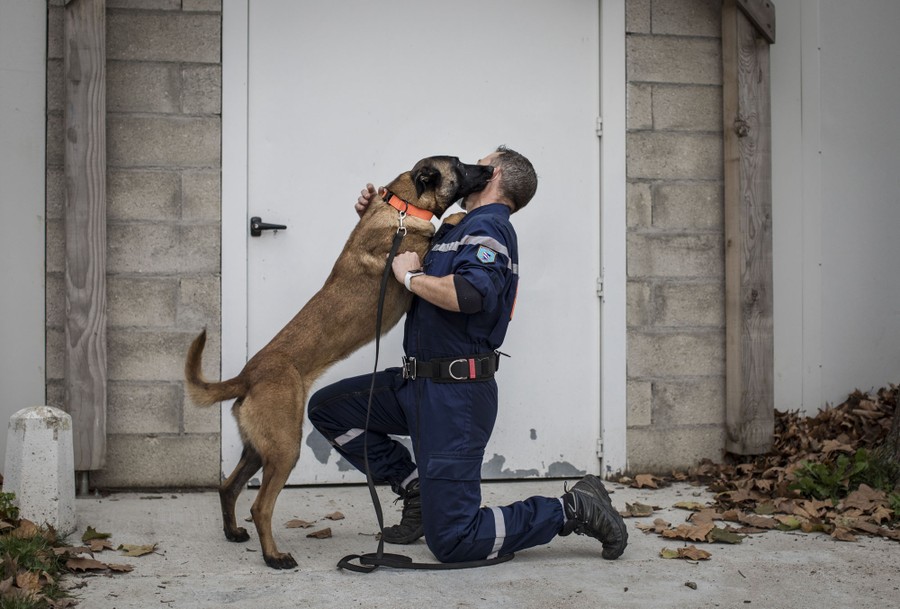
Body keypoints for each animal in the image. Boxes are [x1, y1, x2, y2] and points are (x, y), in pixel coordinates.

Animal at [183, 156, 492, 564]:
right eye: (459, 165)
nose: (489, 172)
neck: (403, 207)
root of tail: (248, 375)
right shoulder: (418, 259)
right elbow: (441, 231)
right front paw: (456, 218)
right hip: (285, 448)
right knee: (260, 506)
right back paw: (274, 557)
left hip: (258, 448)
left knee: (228, 487)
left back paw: (233, 532)